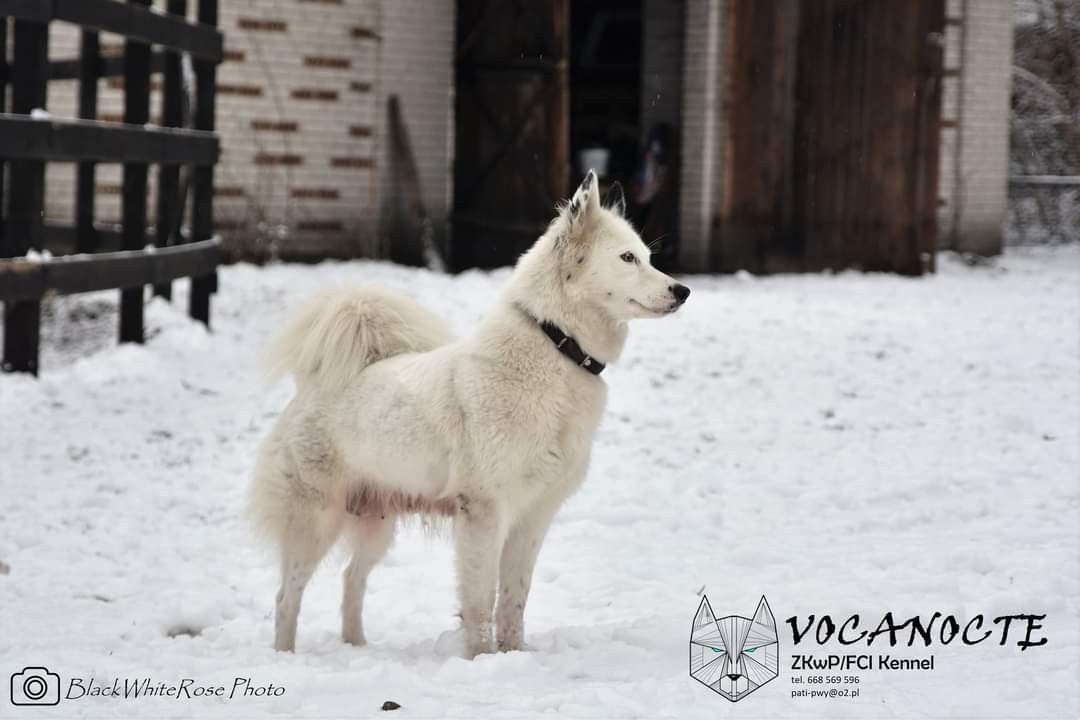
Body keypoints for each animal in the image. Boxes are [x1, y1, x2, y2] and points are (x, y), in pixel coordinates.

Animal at [249, 170, 690, 658]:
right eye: (627, 258)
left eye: (648, 257)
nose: (683, 290)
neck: (557, 345)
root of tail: (311, 385)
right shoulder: (484, 511)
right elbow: (480, 599)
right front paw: (480, 659)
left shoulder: (532, 517)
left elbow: (514, 598)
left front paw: (514, 656)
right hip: (315, 521)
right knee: (286, 596)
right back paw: (284, 656)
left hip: (376, 522)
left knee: (352, 581)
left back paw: (357, 647)